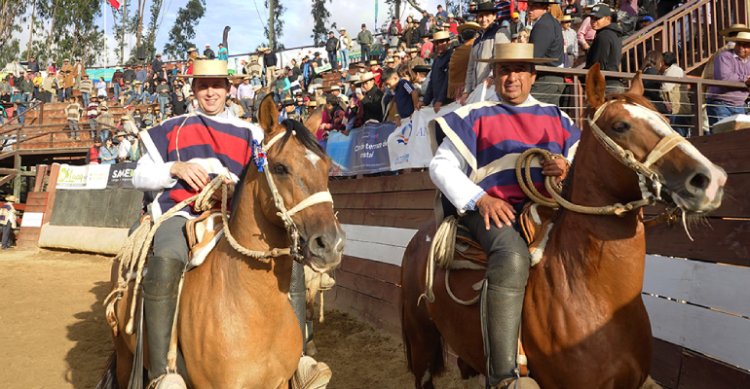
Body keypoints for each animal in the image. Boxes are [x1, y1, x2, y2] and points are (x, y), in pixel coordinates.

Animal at [100, 94, 346, 388]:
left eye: (326, 166)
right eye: (280, 168)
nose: (330, 244)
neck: (254, 304)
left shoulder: (279, 382)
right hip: (125, 355)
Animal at [406, 65, 728, 386]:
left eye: (665, 119)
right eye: (620, 125)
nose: (710, 179)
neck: (588, 290)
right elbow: (444, 163)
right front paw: (491, 205)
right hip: (421, 341)